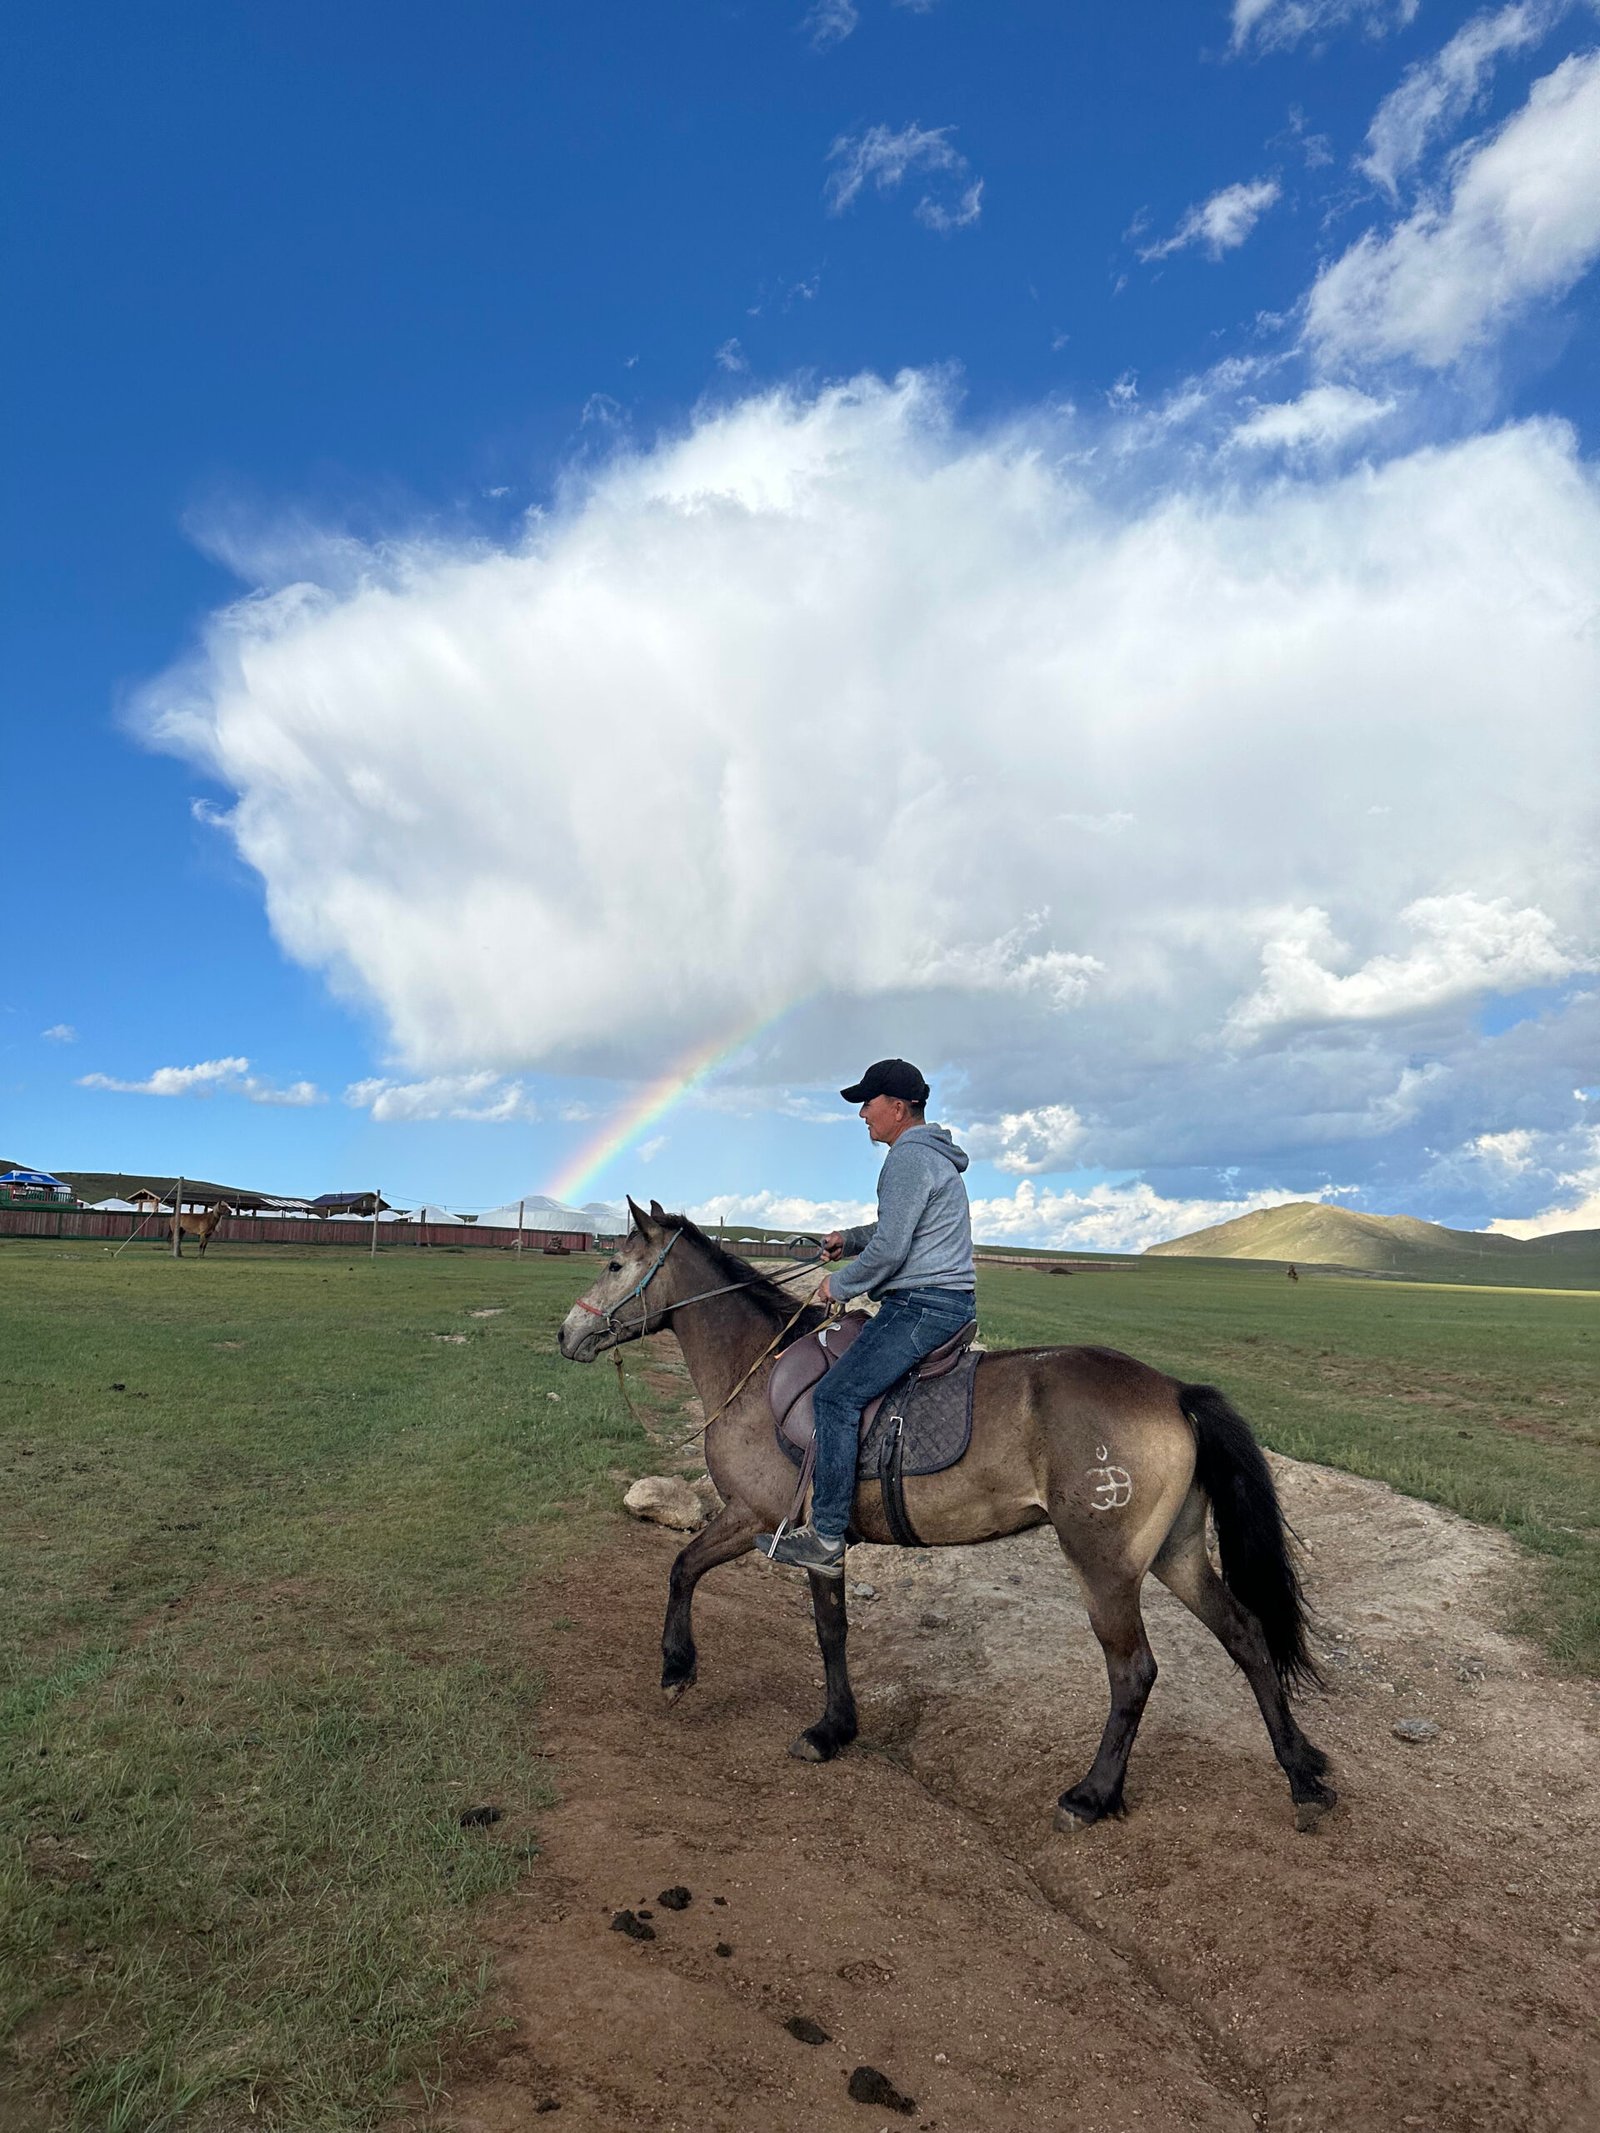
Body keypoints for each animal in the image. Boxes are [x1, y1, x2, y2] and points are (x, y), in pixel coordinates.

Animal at [558, 1201, 1336, 1834]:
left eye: (614, 1261)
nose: (566, 1334)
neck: (760, 1369)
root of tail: (1175, 1392)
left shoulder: (762, 1516)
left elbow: (688, 1568)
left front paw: (681, 1669)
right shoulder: (811, 1538)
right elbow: (825, 1625)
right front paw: (835, 1727)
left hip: (1105, 1565)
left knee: (1134, 1670)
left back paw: (1092, 1795)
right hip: (1176, 1553)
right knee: (1247, 1636)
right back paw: (1302, 1774)